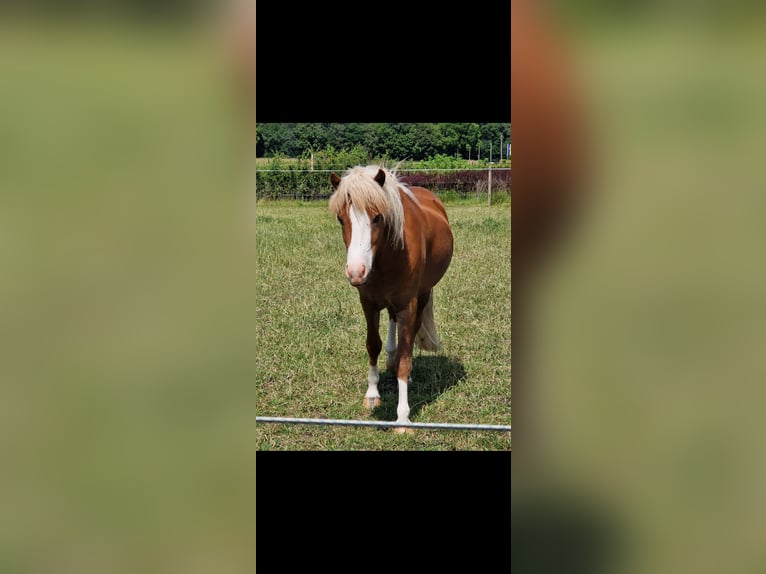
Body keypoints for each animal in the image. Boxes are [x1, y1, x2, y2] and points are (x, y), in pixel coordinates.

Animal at [329, 165, 454, 432]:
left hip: (422, 296)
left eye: (377, 217)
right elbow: (372, 344)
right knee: (391, 323)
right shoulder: (368, 303)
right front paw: (372, 394)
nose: (356, 272)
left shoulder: (408, 305)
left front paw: (403, 418)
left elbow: (405, 356)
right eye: (341, 219)